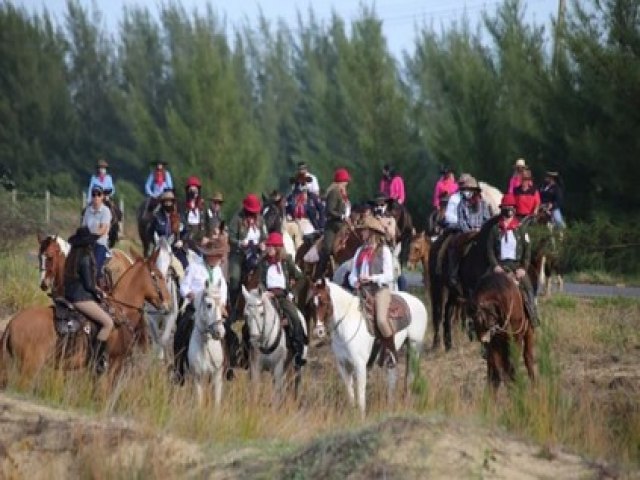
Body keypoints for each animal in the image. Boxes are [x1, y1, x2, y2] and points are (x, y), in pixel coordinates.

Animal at [0, 248, 170, 386]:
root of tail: (12, 323)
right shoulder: (112, 365)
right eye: (159, 276)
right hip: (29, 369)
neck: (121, 311)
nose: (168, 304)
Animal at [312, 280, 428, 418]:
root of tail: (419, 302)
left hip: (414, 347)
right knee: (392, 379)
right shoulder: (343, 365)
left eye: (324, 302)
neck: (347, 324)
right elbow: (350, 392)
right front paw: (352, 414)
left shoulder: (360, 365)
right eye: (313, 303)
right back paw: (390, 406)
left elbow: (361, 393)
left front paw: (361, 417)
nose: (318, 332)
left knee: (409, 376)